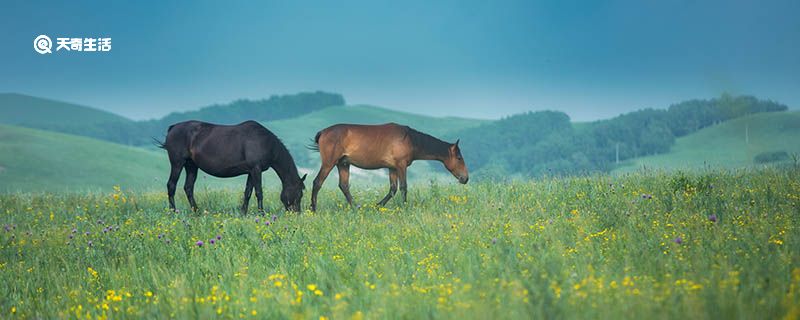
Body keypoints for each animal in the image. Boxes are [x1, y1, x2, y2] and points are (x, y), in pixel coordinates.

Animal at [159, 121, 306, 214]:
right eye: (300, 193)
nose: (296, 213)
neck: (266, 142)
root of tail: (173, 128)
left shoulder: (251, 171)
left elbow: (248, 192)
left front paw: (243, 213)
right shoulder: (256, 169)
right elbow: (259, 192)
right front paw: (261, 213)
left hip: (191, 166)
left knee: (188, 188)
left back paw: (197, 211)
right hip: (177, 163)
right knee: (171, 185)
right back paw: (173, 212)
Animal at [308, 124, 468, 211]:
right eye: (459, 158)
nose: (465, 178)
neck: (409, 139)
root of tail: (323, 132)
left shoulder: (392, 168)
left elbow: (393, 189)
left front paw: (378, 206)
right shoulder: (401, 166)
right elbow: (403, 187)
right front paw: (404, 207)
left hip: (343, 164)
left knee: (344, 186)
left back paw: (356, 207)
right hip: (329, 163)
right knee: (317, 183)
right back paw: (313, 209)